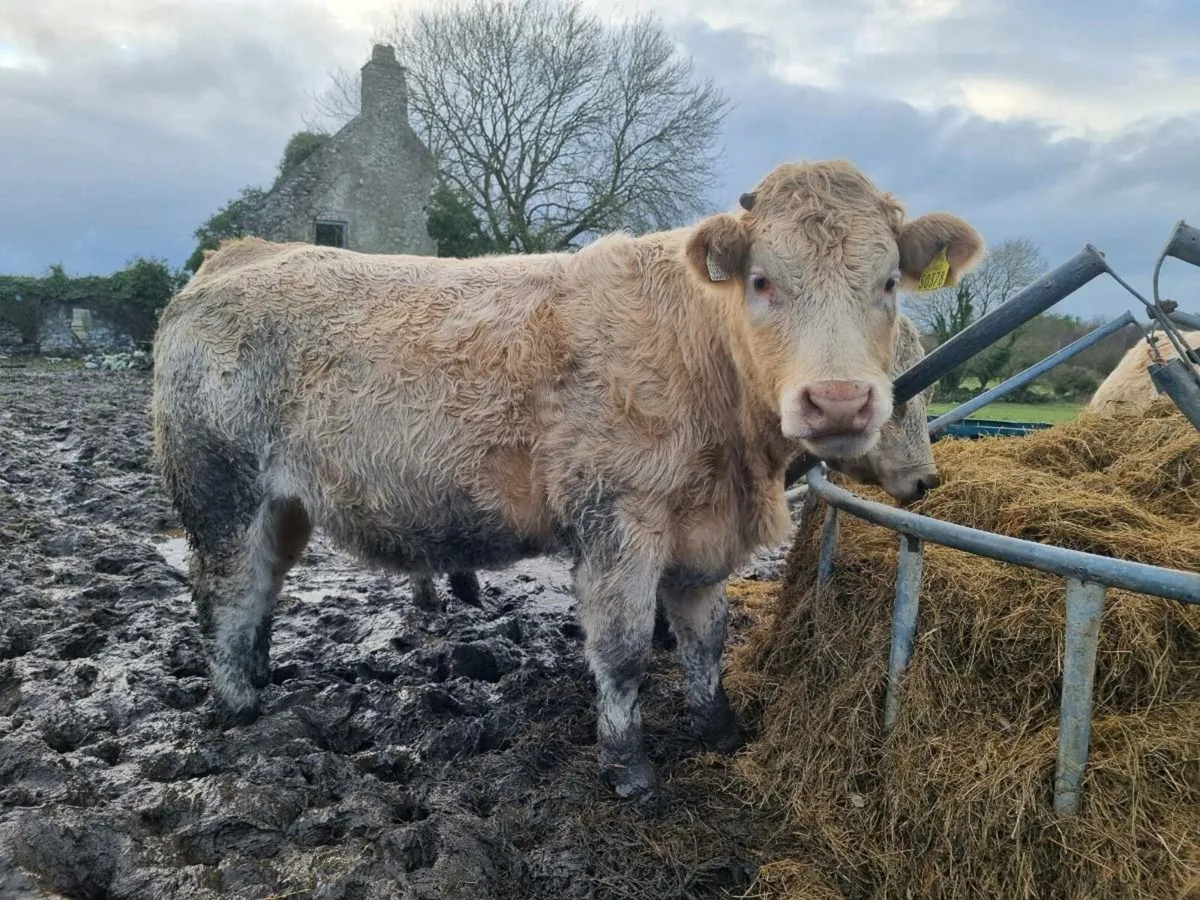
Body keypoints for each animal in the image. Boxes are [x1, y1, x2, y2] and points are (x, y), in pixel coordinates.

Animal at [151, 159, 983, 798]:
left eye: (888, 282)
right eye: (762, 280)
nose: (839, 399)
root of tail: (241, 253)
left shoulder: (701, 534)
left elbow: (706, 639)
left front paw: (720, 729)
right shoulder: (619, 524)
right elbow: (623, 650)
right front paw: (629, 767)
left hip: (282, 506)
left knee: (262, 588)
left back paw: (262, 677)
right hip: (221, 491)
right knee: (227, 596)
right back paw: (238, 707)